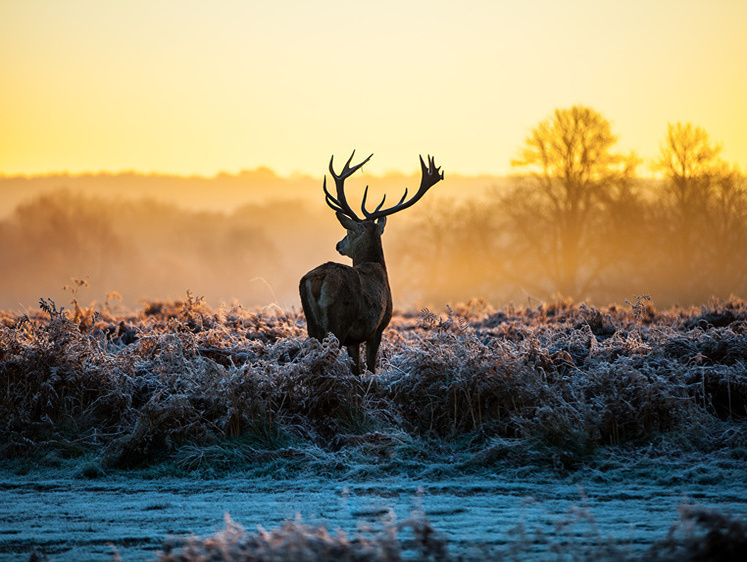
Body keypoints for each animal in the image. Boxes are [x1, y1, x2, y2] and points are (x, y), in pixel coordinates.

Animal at [300, 151, 444, 374]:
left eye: (348, 231)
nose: (338, 245)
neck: (377, 267)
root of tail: (317, 280)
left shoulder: (354, 338)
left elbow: (357, 370)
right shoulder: (377, 328)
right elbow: (370, 367)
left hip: (312, 326)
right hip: (338, 322)